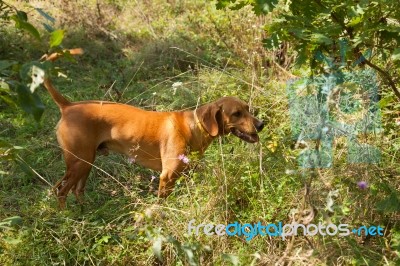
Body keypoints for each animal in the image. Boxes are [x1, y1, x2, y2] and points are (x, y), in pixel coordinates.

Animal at [42, 51, 264, 208]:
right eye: (236, 113)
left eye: (248, 109)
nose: (261, 124)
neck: (193, 126)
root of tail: (68, 106)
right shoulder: (167, 176)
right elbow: (162, 204)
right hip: (80, 162)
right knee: (61, 191)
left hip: (85, 163)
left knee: (76, 190)